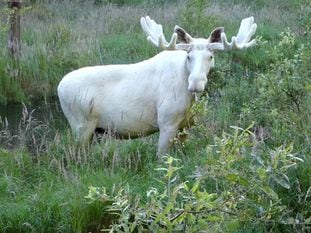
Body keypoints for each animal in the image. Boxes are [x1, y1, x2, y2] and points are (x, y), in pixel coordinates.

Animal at [57, 15, 258, 158]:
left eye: (211, 56)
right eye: (189, 56)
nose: (196, 83)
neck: (189, 99)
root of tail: (59, 87)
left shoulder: (185, 126)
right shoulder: (166, 122)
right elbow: (162, 158)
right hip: (81, 125)